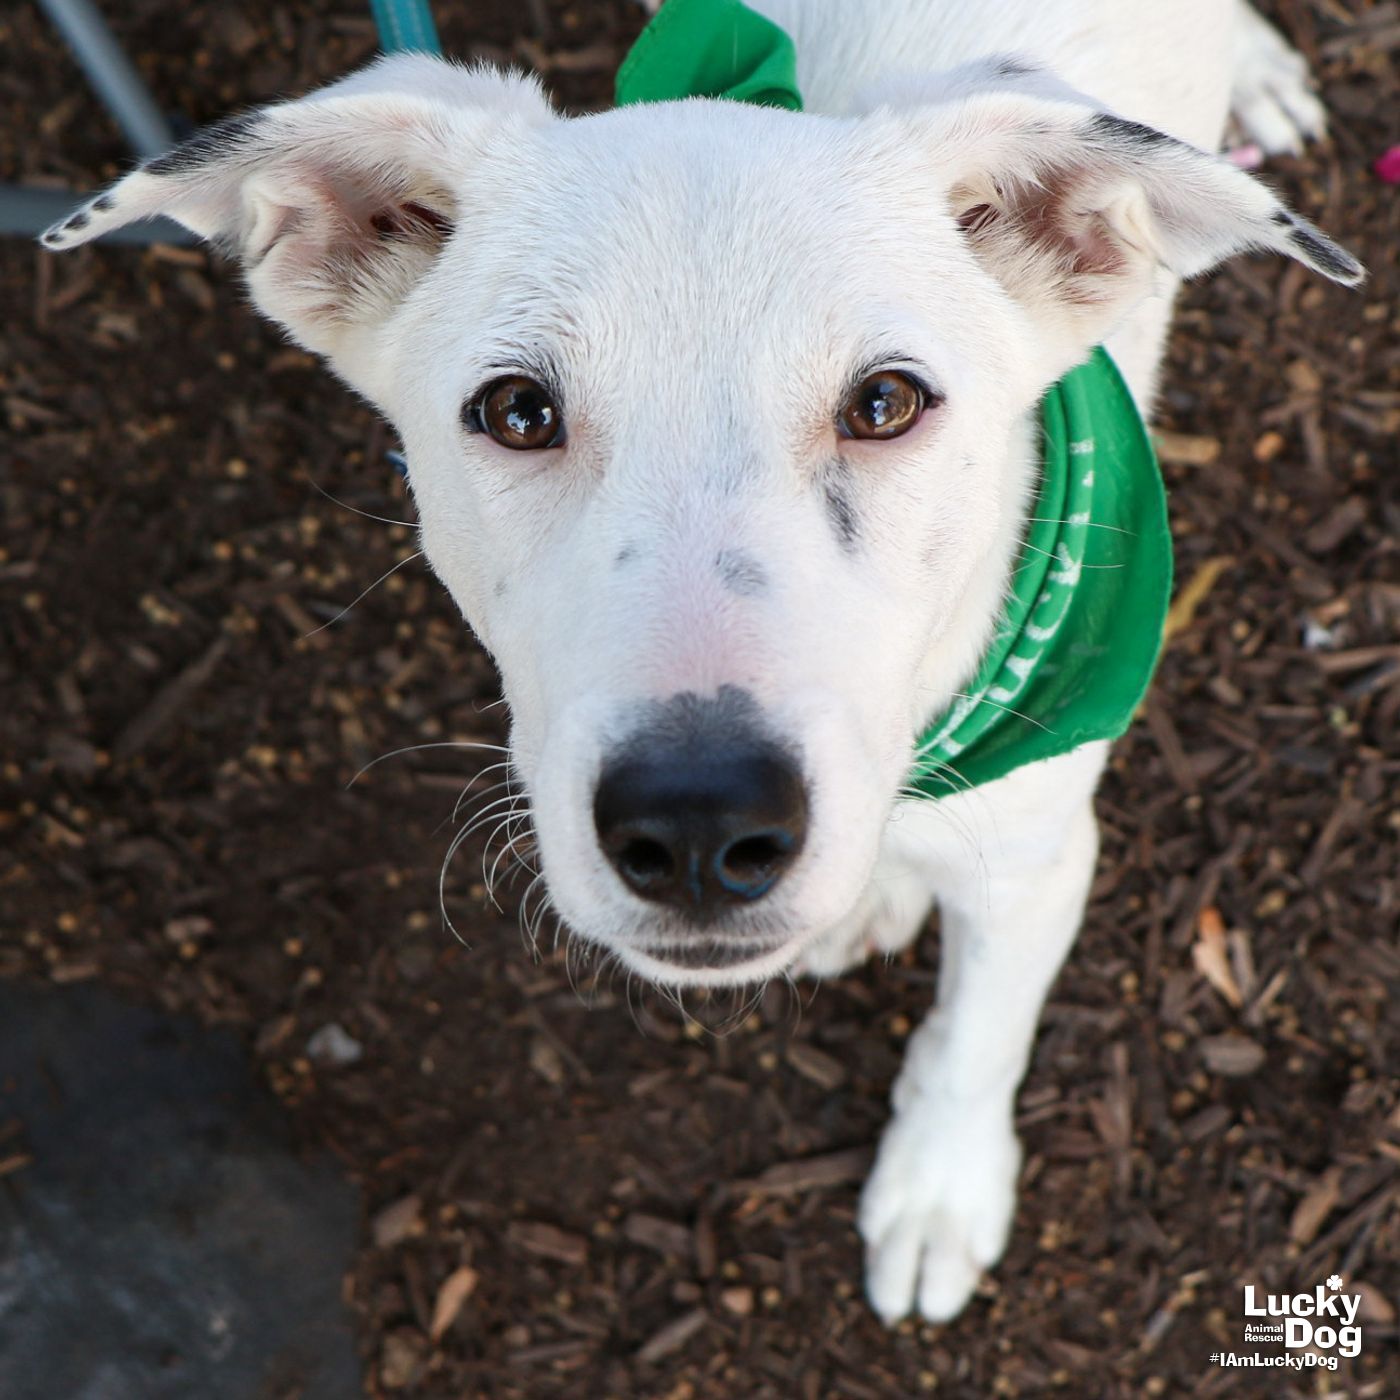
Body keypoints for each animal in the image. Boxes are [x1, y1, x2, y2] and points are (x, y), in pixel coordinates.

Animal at [49, 0, 1360, 1327]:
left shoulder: (1038, 850)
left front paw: (938, 1189)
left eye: (885, 402)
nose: (694, 823)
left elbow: (976, 1034)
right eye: (516, 411)